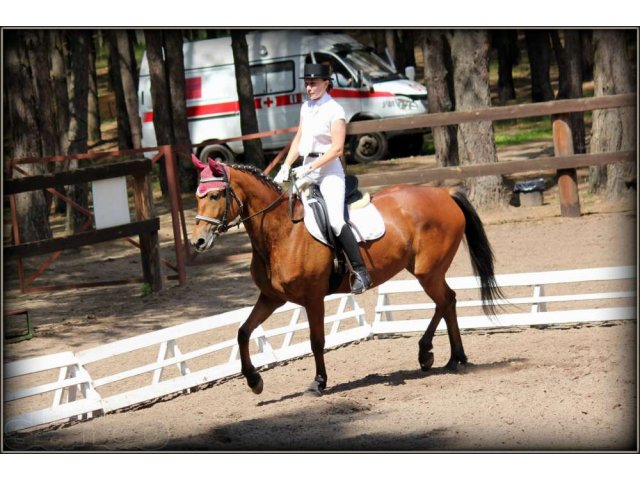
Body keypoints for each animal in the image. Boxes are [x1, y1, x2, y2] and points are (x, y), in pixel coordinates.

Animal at [190, 158, 504, 394]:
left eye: (215, 195)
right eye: (197, 197)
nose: (198, 242)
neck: (281, 233)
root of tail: (444, 194)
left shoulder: (313, 299)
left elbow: (316, 341)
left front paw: (319, 383)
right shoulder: (271, 298)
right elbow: (243, 332)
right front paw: (254, 381)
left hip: (428, 271)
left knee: (445, 300)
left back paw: (432, 354)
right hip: (428, 271)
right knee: (447, 301)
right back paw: (452, 358)